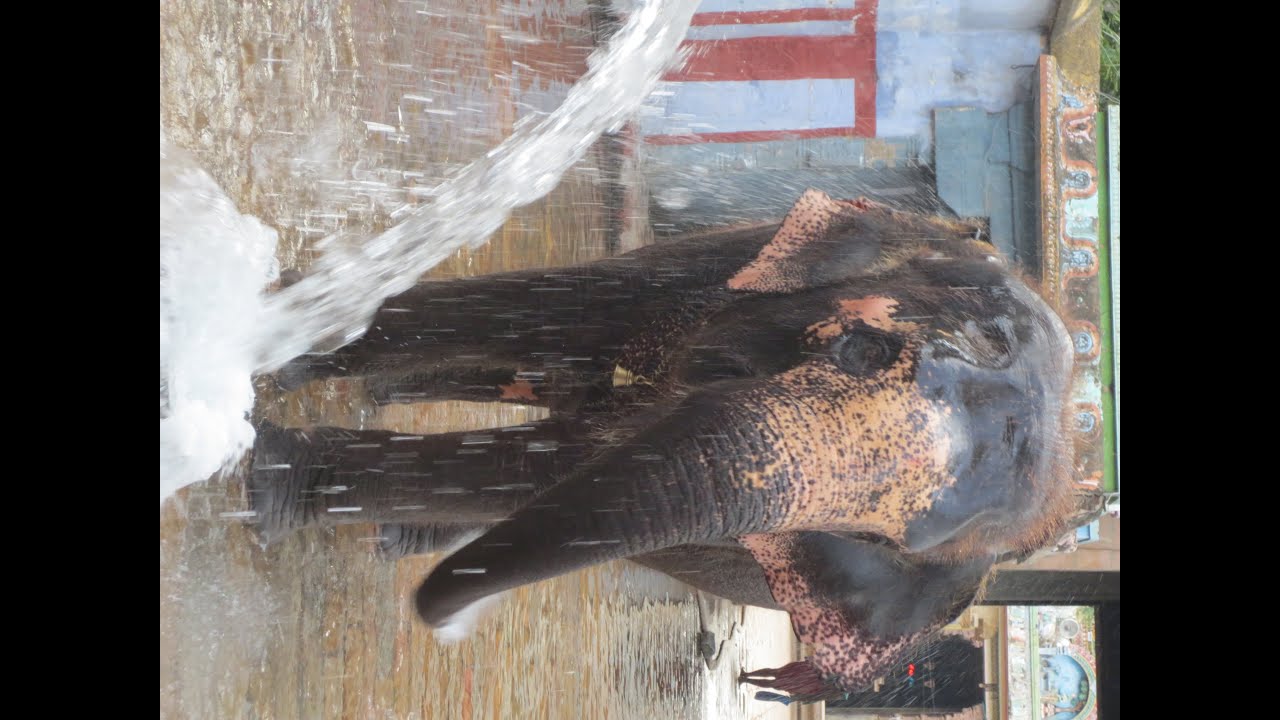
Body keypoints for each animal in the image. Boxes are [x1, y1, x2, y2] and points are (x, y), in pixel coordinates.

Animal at [249, 189, 1076, 698]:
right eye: (861, 352)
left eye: (870, 537)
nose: (441, 621)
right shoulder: (717, 268)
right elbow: (563, 310)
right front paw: (278, 334)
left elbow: (564, 458)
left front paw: (272, 472)